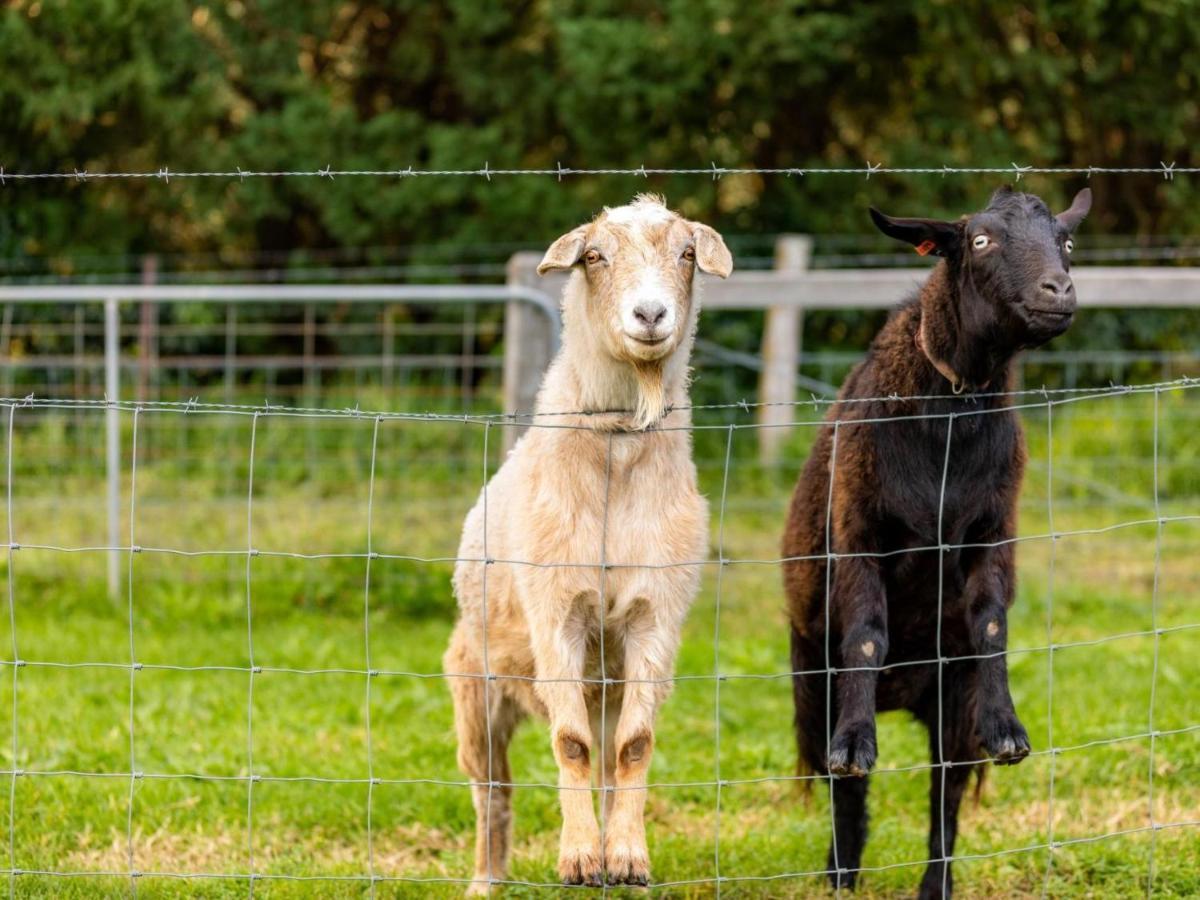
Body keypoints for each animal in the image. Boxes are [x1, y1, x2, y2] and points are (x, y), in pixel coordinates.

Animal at [446, 194, 729, 892]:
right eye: (595, 256)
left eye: (687, 253)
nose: (650, 314)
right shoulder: (557, 613)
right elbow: (567, 743)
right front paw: (576, 859)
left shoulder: (655, 615)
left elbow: (634, 747)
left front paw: (625, 859)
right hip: (475, 686)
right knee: (492, 790)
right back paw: (486, 880)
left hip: (609, 686)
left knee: (603, 763)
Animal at [782, 187, 1094, 897]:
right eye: (979, 241)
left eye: (1066, 242)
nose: (1058, 291)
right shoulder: (859, 529)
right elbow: (867, 634)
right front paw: (856, 745)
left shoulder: (992, 530)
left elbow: (991, 624)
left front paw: (1009, 731)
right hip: (811, 674)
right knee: (845, 786)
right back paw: (842, 869)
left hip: (952, 698)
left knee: (943, 786)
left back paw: (935, 883)